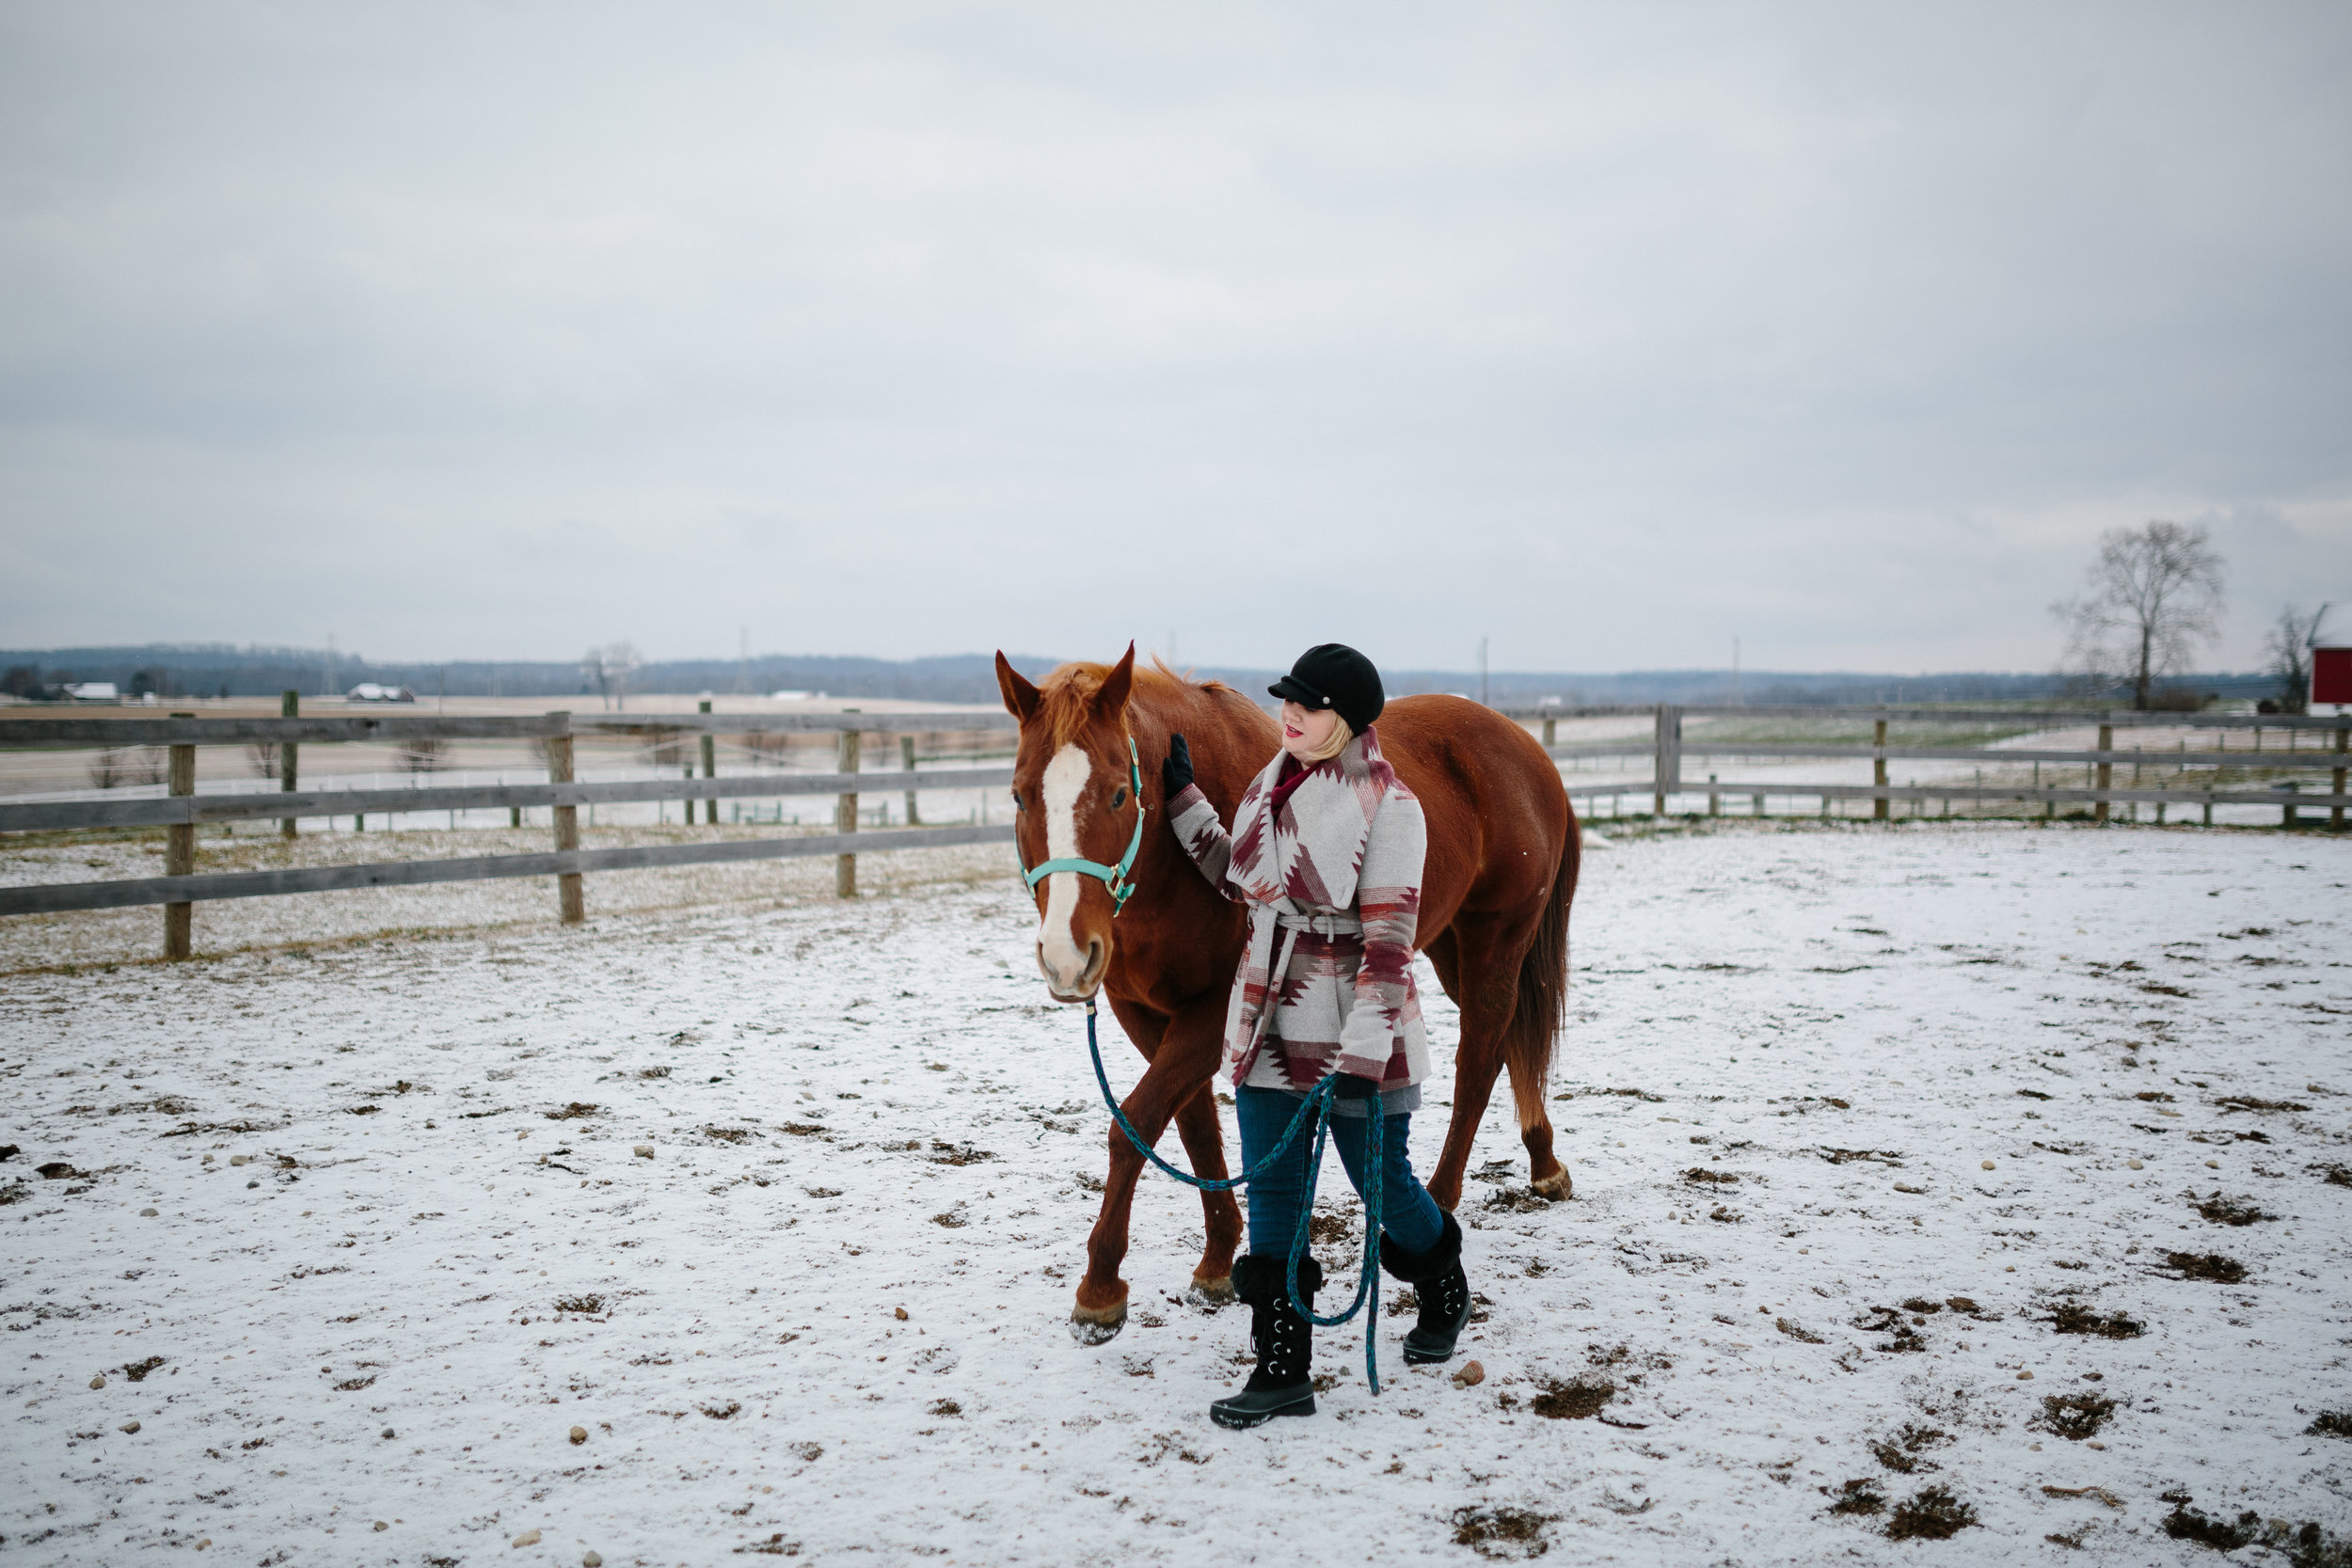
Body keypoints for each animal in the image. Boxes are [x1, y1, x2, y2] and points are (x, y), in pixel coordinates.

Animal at [993, 643, 1581, 1344]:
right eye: (1019, 795)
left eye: (1117, 794)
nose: (1066, 956)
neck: (1167, 866)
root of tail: (1529, 750)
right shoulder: (1146, 1013)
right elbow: (1191, 1124)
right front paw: (1218, 1259)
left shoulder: (1215, 1009)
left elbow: (1133, 1123)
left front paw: (1101, 1288)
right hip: (1450, 949)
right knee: (1513, 1040)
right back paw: (1544, 1161)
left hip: (1497, 940)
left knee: (1481, 1059)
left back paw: (1438, 1200)